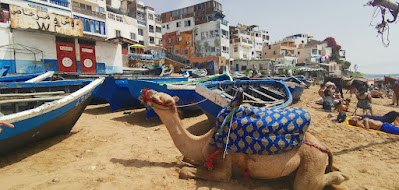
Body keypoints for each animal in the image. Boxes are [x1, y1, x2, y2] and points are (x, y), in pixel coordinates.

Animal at [138, 89, 350, 190]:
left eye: (158, 98)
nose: (144, 92)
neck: (203, 142)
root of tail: (323, 148)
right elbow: (186, 159)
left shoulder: (224, 165)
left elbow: (185, 171)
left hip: (312, 160)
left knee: (307, 184)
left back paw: (343, 177)